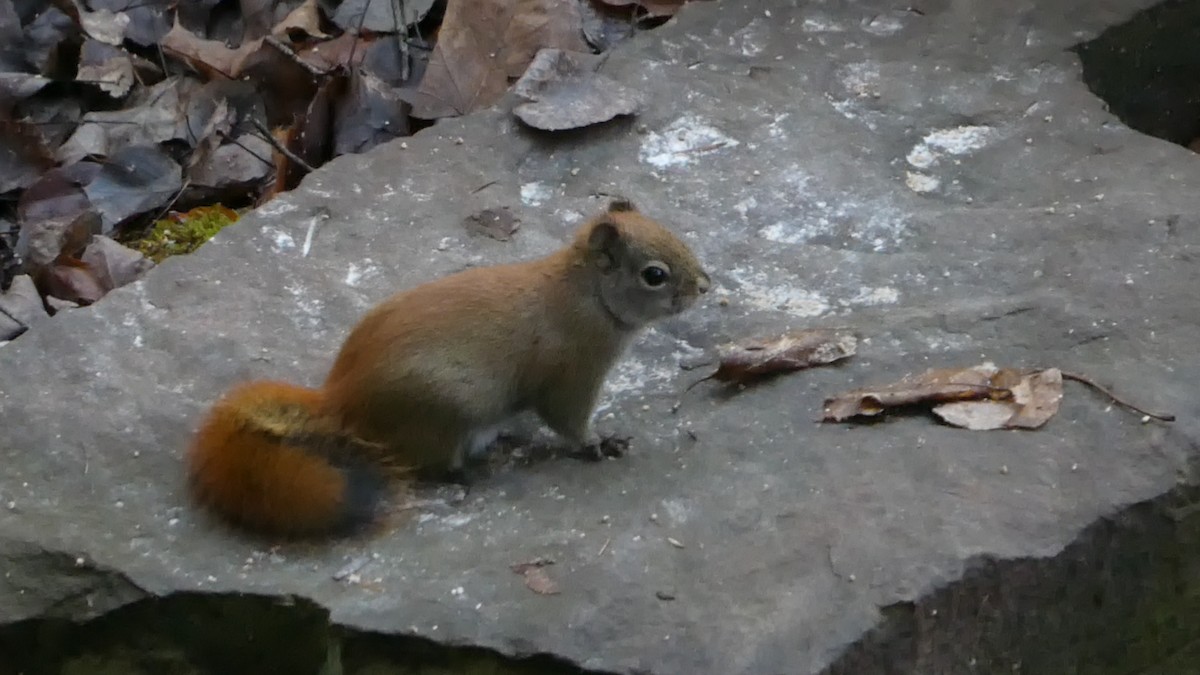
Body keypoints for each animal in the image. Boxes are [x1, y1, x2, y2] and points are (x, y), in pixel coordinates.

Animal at [186, 199, 711, 538]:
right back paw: (472, 469)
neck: (585, 293)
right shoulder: (574, 370)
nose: (705, 286)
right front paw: (599, 443)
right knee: (431, 461)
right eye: (654, 275)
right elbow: (567, 419)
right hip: (450, 409)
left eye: (678, 236)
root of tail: (341, 402)